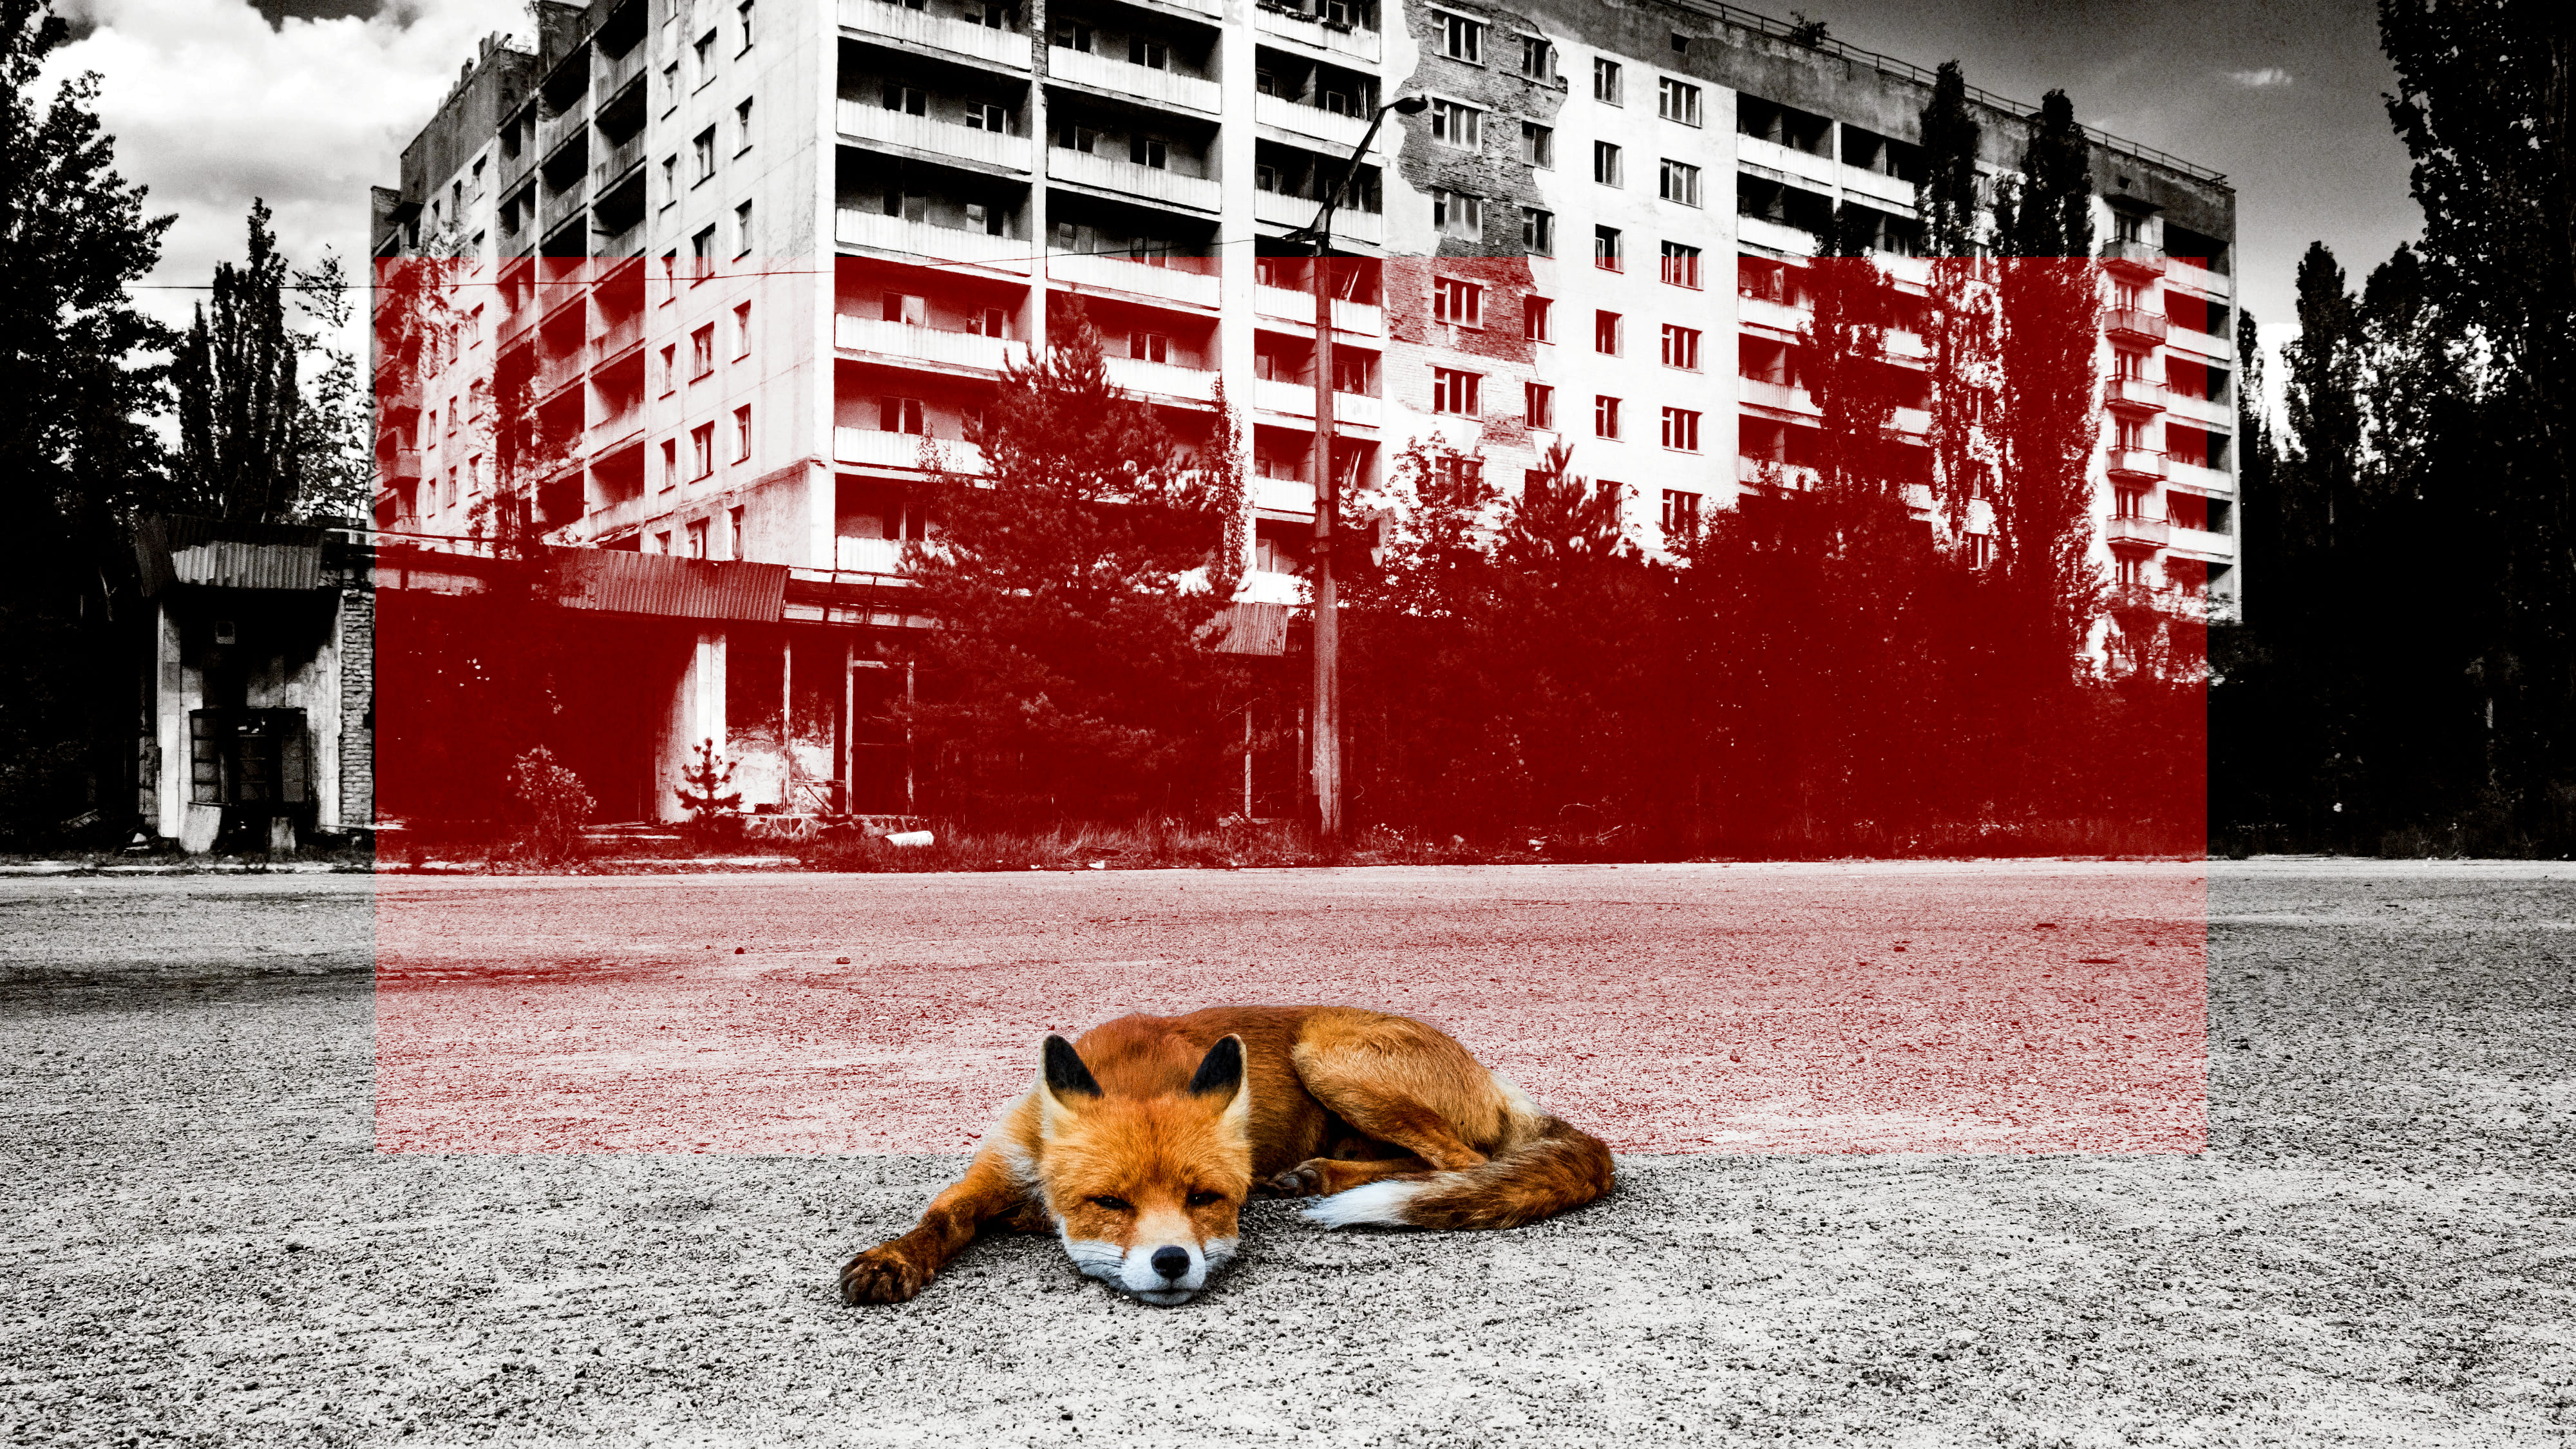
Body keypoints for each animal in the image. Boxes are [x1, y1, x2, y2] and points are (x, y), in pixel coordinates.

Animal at [837, 1005, 1615, 1307]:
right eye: (1109, 1202)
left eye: (1205, 1198)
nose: (1172, 1262)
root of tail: (1494, 1079)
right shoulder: (999, 1166)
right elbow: (940, 1219)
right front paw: (890, 1259)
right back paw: (1316, 1172)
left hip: (1326, 1053)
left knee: (1462, 1161)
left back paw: (1322, 1178)